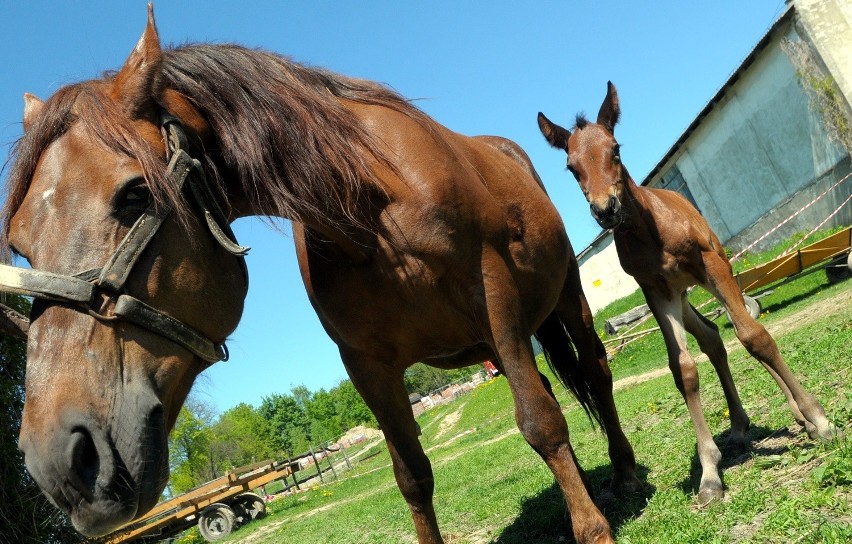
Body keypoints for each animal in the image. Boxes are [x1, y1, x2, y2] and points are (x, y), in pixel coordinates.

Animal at [0, 9, 640, 544]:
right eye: (21, 244)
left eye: (134, 195)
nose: (61, 461)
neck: (371, 212)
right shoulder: (366, 362)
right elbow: (412, 473)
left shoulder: (496, 301)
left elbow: (541, 423)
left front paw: (592, 530)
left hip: (566, 300)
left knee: (595, 373)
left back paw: (625, 474)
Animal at [536, 82, 836, 506]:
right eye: (571, 167)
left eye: (615, 148)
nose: (605, 209)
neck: (651, 230)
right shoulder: (656, 292)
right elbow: (684, 369)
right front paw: (709, 473)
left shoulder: (709, 264)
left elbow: (755, 337)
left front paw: (819, 419)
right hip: (681, 295)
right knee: (711, 336)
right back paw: (739, 426)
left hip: (716, 268)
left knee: (745, 321)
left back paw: (799, 415)